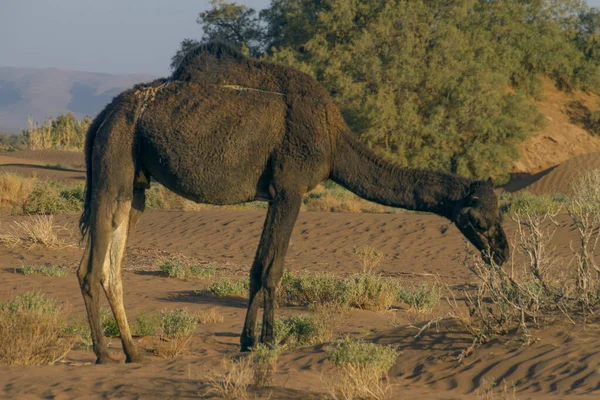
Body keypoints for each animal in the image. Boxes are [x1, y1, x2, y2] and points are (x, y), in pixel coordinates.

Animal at [77, 42, 508, 364]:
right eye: (480, 220)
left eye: (498, 212)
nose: (503, 253)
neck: (333, 139)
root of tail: (103, 115)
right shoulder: (291, 188)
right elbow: (273, 269)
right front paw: (270, 342)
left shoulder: (275, 195)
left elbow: (257, 268)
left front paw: (247, 342)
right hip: (113, 163)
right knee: (90, 269)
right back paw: (102, 353)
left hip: (134, 186)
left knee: (111, 267)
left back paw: (133, 352)